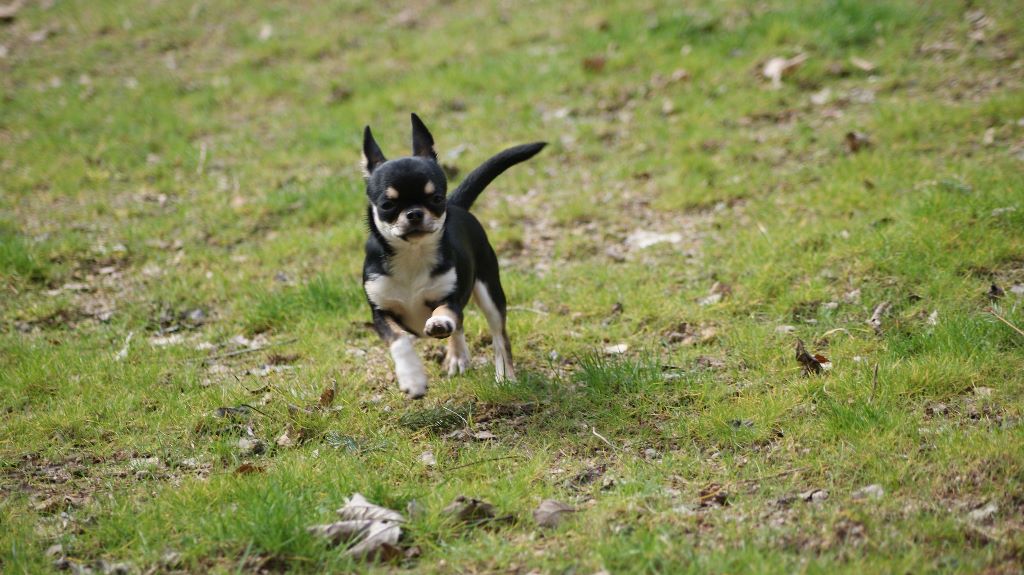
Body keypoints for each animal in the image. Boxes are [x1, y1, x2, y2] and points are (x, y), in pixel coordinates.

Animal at [364, 113, 548, 396]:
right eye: (387, 205)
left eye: (437, 198)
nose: (414, 213)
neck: (412, 256)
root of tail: (458, 204)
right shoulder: (380, 312)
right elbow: (400, 339)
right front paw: (412, 378)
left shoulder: (450, 296)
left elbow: (446, 311)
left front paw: (439, 322)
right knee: (461, 327)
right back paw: (458, 356)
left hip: (489, 291)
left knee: (499, 337)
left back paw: (505, 377)